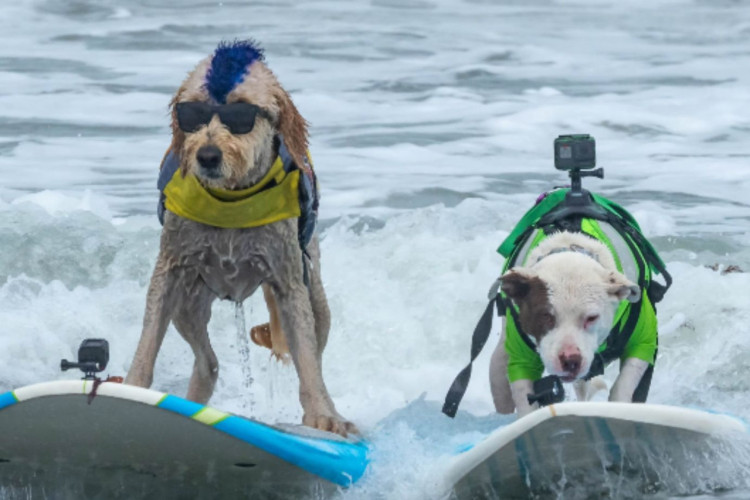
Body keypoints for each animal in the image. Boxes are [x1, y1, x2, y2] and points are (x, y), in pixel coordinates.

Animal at [124, 40, 358, 434]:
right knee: (208, 361)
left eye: (242, 113)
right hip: (188, 302)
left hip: (315, 294)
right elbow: (147, 340)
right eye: (193, 113)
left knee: (315, 349)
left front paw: (323, 416)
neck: (231, 198)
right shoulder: (169, 269)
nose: (207, 155)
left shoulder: (289, 279)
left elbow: (307, 359)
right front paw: (132, 388)